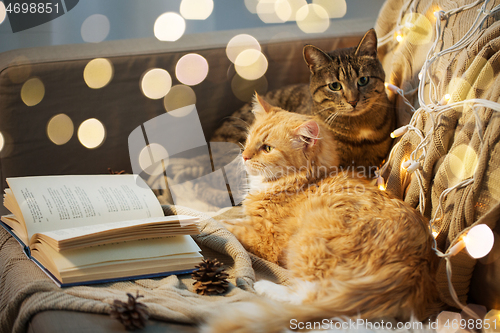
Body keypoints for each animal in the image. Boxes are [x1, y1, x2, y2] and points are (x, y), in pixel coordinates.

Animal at [201, 94, 440, 332]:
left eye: (267, 148)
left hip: (308, 245)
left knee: (308, 297)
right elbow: (230, 218)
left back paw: (265, 288)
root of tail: (412, 268)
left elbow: (222, 225)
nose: (244, 156)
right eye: (249, 139)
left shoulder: (264, 239)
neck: (304, 181)